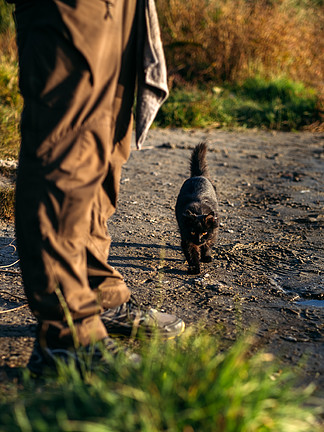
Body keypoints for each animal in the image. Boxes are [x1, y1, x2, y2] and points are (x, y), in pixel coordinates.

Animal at [176, 143, 219, 276]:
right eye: (193, 232)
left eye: (204, 233)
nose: (199, 240)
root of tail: (198, 175)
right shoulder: (187, 239)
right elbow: (192, 255)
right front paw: (195, 269)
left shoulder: (213, 232)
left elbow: (208, 245)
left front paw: (206, 257)